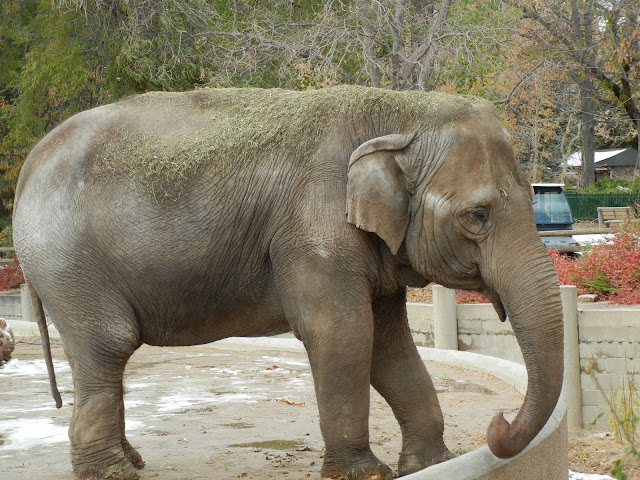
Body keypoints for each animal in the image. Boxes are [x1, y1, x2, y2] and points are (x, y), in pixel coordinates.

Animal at [12, 86, 564, 480]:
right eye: (478, 216)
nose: (497, 423)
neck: (399, 113)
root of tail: (30, 162)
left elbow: (388, 343)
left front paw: (432, 464)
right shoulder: (313, 227)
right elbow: (343, 333)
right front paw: (364, 474)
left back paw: (132, 461)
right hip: (69, 264)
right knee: (108, 343)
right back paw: (113, 473)